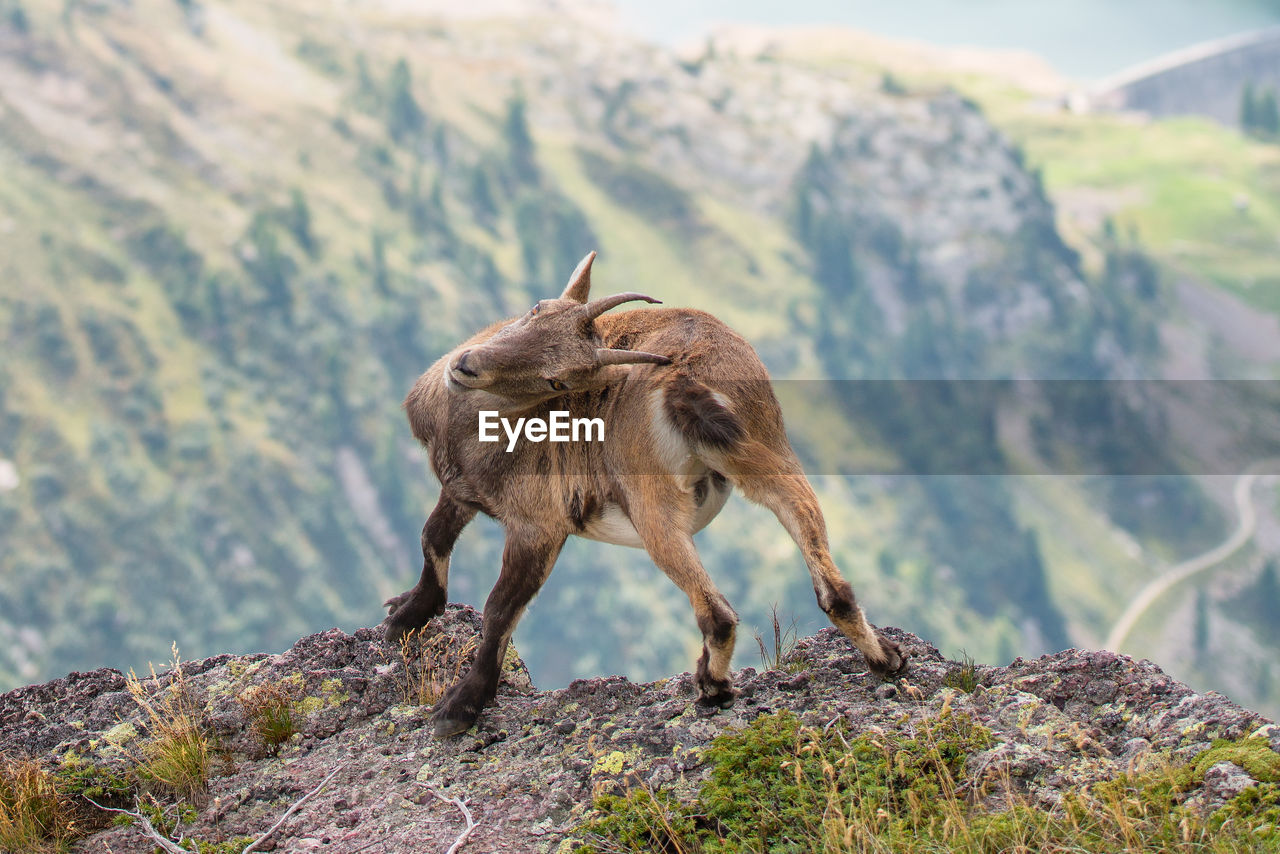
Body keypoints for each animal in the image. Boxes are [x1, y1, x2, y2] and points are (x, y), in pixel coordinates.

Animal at [384, 252, 906, 737]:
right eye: (536, 309)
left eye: (559, 379)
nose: (466, 365)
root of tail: (686, 381)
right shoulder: (461, 491)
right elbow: (433, 538)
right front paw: (407, 614)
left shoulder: (538, 525)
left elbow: (499, 610)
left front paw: (460, 707)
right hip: (770, 453)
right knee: (833, 587)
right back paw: (887, 659)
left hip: (652, 504)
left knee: (717, 612)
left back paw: (713, 687)